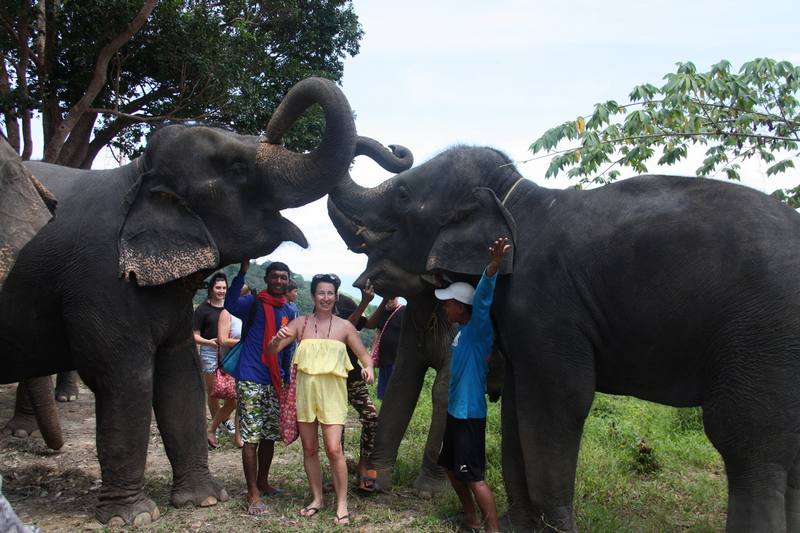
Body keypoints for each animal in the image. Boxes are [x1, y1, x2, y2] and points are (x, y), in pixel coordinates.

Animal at [0, 77, 392, 526]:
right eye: (237, 169)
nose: (395, 149)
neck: (136, 174)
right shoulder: (100, 280)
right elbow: (125, 378)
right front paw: (133, 518)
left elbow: (180, 374)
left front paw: (204, 500)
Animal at [328, 144, 800, 532]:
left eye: (403, 196)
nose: (364, 282)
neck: (516, 197)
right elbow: (515, 406)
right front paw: (518, 527)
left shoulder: (546, 306)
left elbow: (560, 399)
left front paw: (552, 528)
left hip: (761, 333)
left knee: (745, 441)